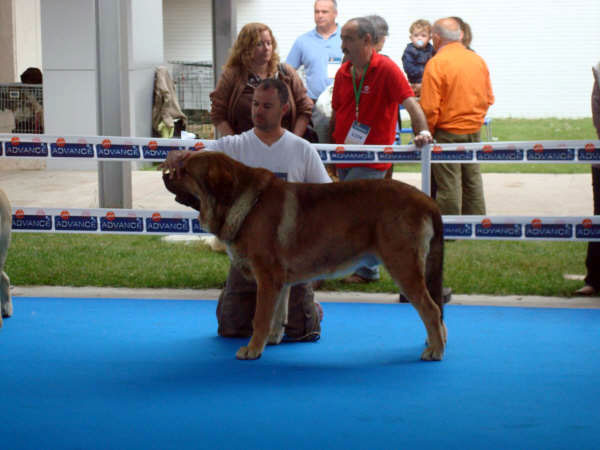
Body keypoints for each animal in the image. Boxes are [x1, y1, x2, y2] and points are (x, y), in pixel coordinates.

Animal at [163, 153, 446, 360]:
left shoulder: (266, 278)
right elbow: (277, 316)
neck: (246, 203)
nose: (165, 172)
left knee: (431, 310)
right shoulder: (279, 283)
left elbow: (260, 318)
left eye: (184, 171)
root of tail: (428, 201)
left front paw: (252, 349)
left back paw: (435, 350)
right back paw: (437, 341)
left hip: (403, 268)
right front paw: (271, 341)